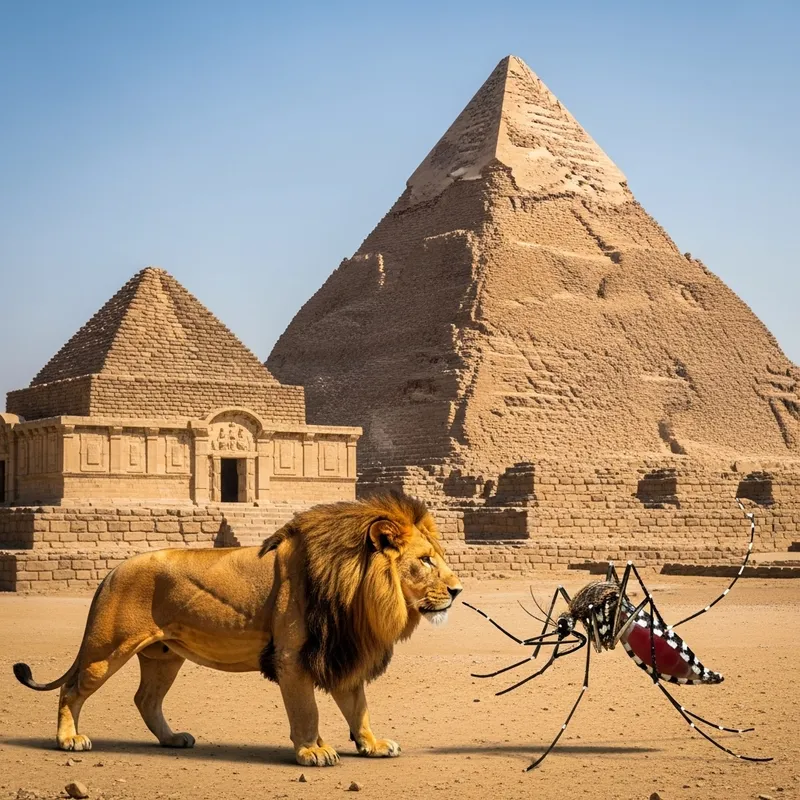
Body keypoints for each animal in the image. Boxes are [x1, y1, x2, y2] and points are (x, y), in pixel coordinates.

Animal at [13, 491, 462, 766]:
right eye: (425, 560)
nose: (458, 590)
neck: (359, 591)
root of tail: (110, 572)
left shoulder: (341, 651)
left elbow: (359, 708)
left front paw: (372, 745)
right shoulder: (293, 658)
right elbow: (308, 712)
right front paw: (313, 752)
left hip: (164, 656)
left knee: (145, 699)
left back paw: (172, 739)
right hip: (107, 649)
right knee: (72, 690)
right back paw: (69, 740)